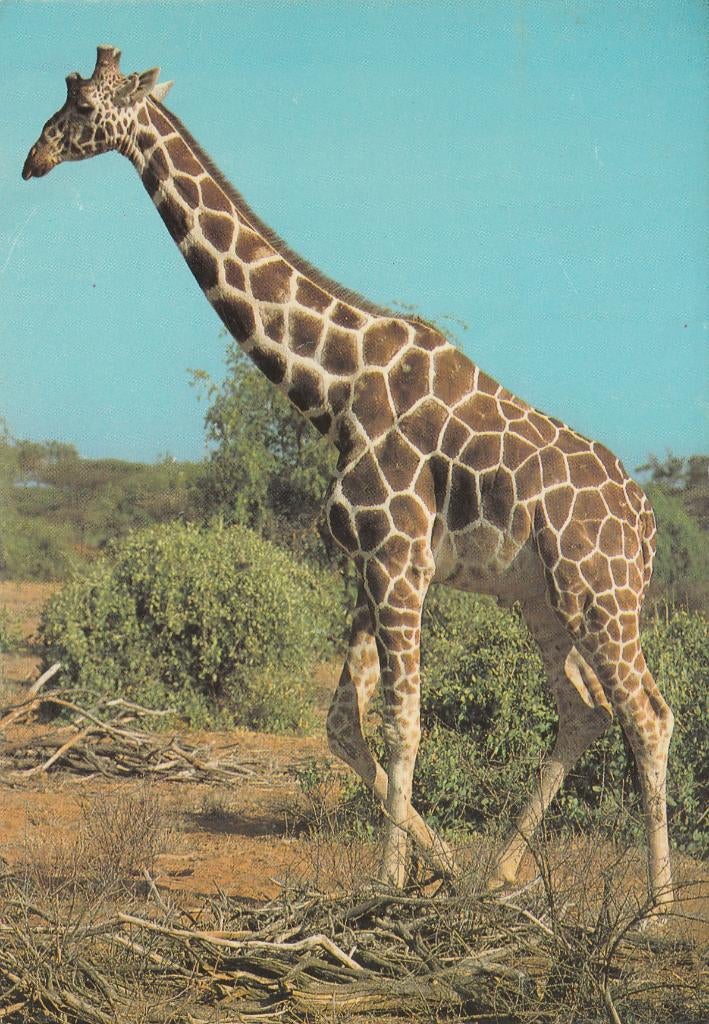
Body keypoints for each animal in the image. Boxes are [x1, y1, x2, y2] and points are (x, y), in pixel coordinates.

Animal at [23, 46, 674, 911]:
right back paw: (495, 874)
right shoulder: (368, 563)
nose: (33, 159)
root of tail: (644, 522)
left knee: (648, 714)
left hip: (600, 592)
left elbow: (402, 723)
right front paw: (441, 867)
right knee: (584, 709)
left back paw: (655, 906)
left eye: (84, 106)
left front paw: (389, 884)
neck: (332, 389)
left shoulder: (398, 561)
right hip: (541, 599)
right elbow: (341, 724)